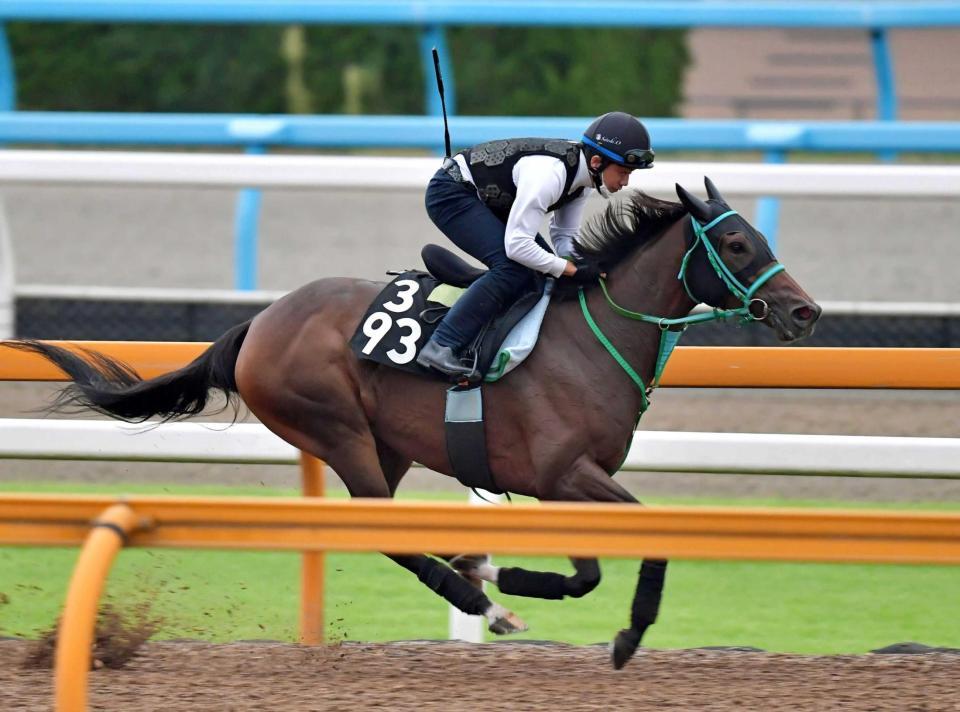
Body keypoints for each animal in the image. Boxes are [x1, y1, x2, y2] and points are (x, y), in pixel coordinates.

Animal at [5, 177, 816, 668]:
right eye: (738, 244)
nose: (805, 311)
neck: (592, 335)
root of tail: (260, 323)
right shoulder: (563, 474)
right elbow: (626, 554)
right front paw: (609, 632)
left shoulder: (570, 484)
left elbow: (589, 572)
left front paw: (532, 584)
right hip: (336, 430)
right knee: (384, 530)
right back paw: (485, 604)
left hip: (385, 443)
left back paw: (478, 584)